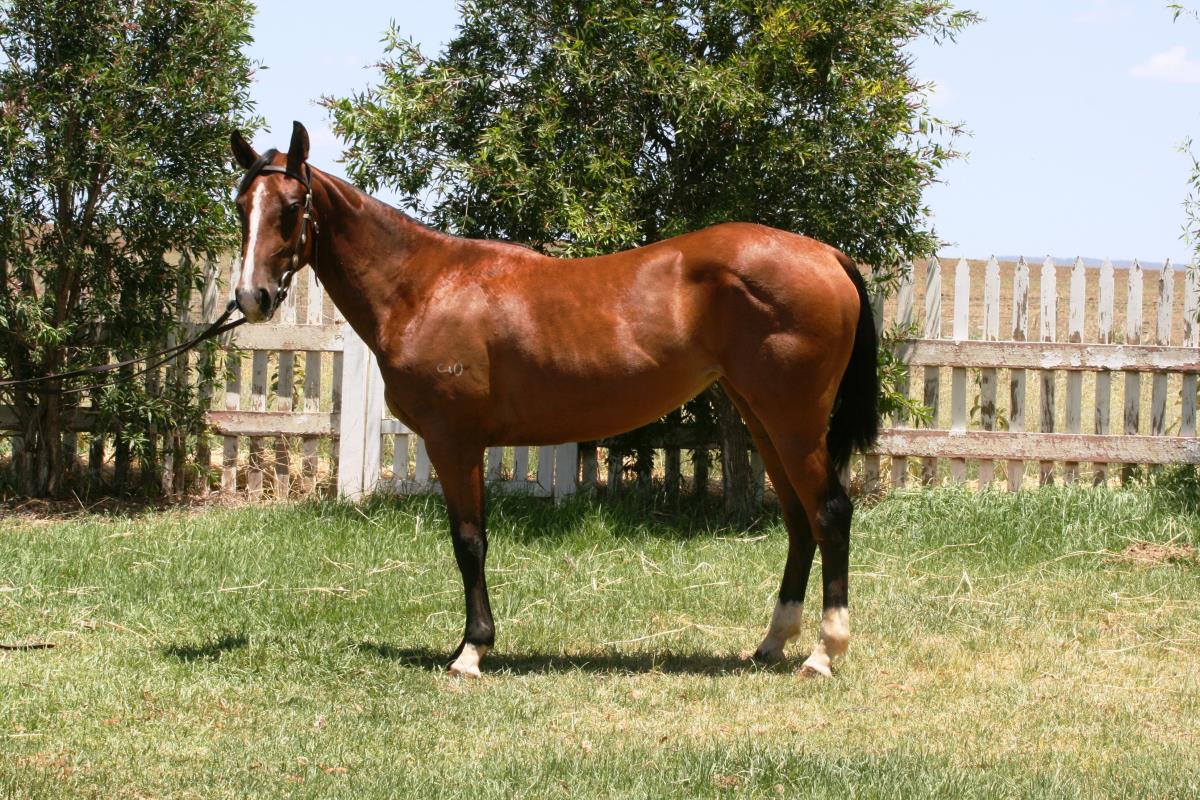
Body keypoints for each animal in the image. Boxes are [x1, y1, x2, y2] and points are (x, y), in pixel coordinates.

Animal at [229, 121, 879, 678]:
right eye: (241, 208)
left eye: (292, 209)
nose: (252, 297)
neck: (425, 286)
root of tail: (826, 255)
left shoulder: (453, 441)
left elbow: (469, 541)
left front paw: (472, 651)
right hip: (762, 418)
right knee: (797, 519)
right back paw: (773, 642)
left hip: (793, 421)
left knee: (829, 513)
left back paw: (823, 652)